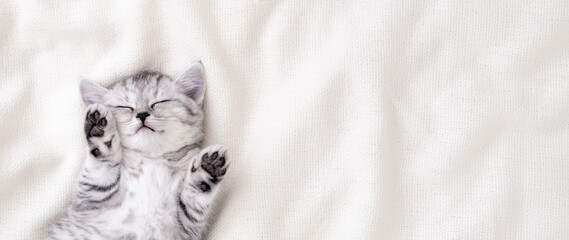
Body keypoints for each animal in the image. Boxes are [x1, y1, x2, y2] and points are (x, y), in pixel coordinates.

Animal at [46, 62, 229, 239]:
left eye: (160, 102)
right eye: (125, 107)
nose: (141, 114)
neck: (152, 159)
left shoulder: (187, 228)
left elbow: (194, 199)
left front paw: (208, 168)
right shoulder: (90, 200)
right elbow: (101, 167)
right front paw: (99, 130)